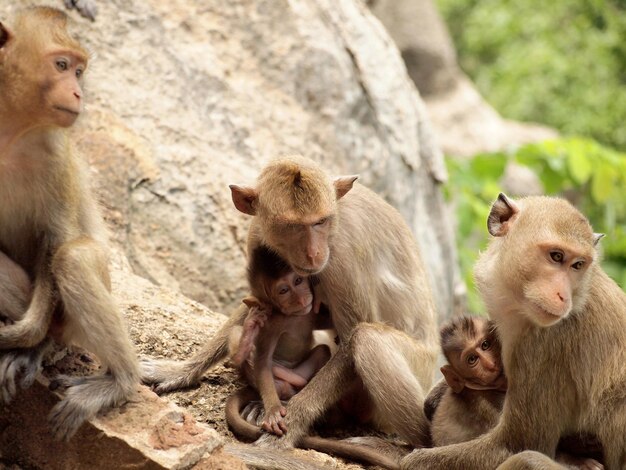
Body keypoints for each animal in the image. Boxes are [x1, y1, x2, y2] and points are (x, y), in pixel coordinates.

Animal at [0, 6, 139, 440]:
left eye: (79, 71)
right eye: (62, 66)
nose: (79, 93)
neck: (9, 129)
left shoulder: (54, 151)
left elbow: (56, 239)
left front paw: (26, 342)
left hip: (71, 321)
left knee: (72, 259)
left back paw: (116, 380)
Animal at [225, 246, 332, 436]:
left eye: (298, 281)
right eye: (283, 291)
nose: (301, 299)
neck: (294, 316)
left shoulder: (311, 313)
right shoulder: (272, 325)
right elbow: (262, 361)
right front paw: (273, 411)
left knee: (322, 351)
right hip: (268, 382)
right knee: (238, 336)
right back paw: (246, 343)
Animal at [400, 193, 624, 468]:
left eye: (578, 265)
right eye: (556, 256)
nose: (564, 297)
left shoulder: (545, 345)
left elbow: (518, 443)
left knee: (527, 458)